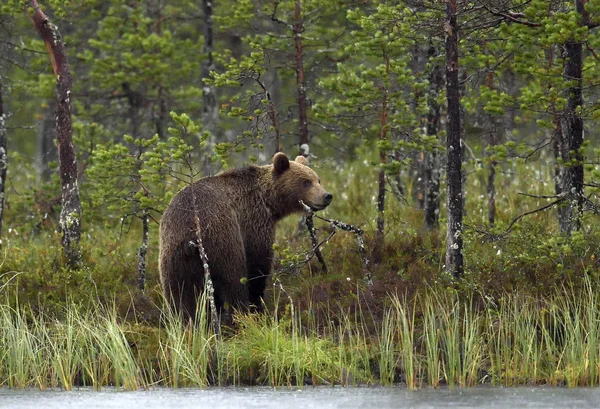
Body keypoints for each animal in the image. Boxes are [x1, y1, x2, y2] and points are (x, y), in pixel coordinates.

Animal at [159, 152, 332, 318]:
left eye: (318, 180)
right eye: (306, 182)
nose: (327, 196)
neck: (269, 202)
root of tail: (191, 231)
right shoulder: (253, 220)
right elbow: (258, 262)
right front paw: (258, 303)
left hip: (174, 258)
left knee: (179, 295)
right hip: (223, 238)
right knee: (233, 279)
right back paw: (241, 313)